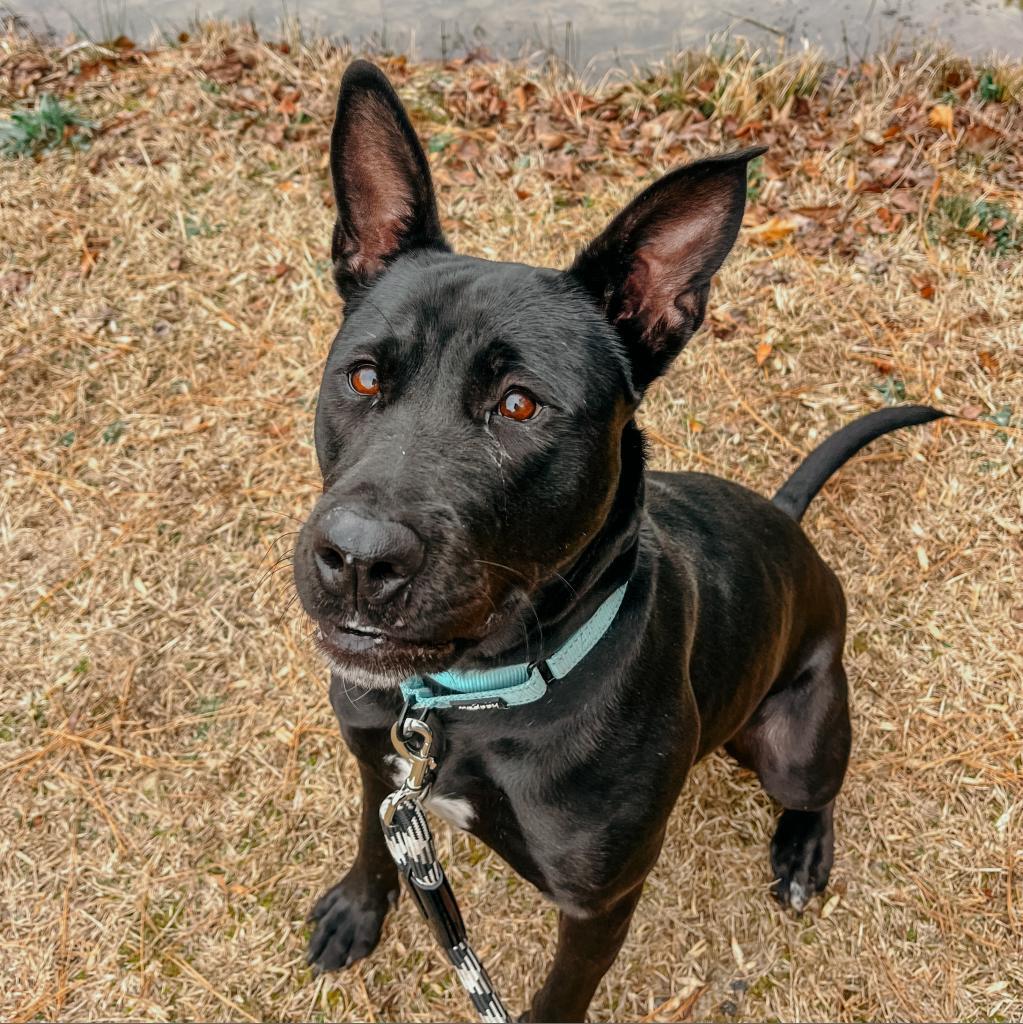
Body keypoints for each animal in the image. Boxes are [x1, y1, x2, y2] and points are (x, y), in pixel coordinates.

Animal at [292, 61, 946, 1015]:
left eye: (519, 405)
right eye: (365, 377)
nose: (355, 559)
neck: (470, 703)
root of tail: (785, 519)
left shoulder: (598, 899)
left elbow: (558, 997)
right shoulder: (383, 771)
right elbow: (379, 841)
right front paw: (356, 909)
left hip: (797, 738)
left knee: (816, 786)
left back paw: (802, 849)